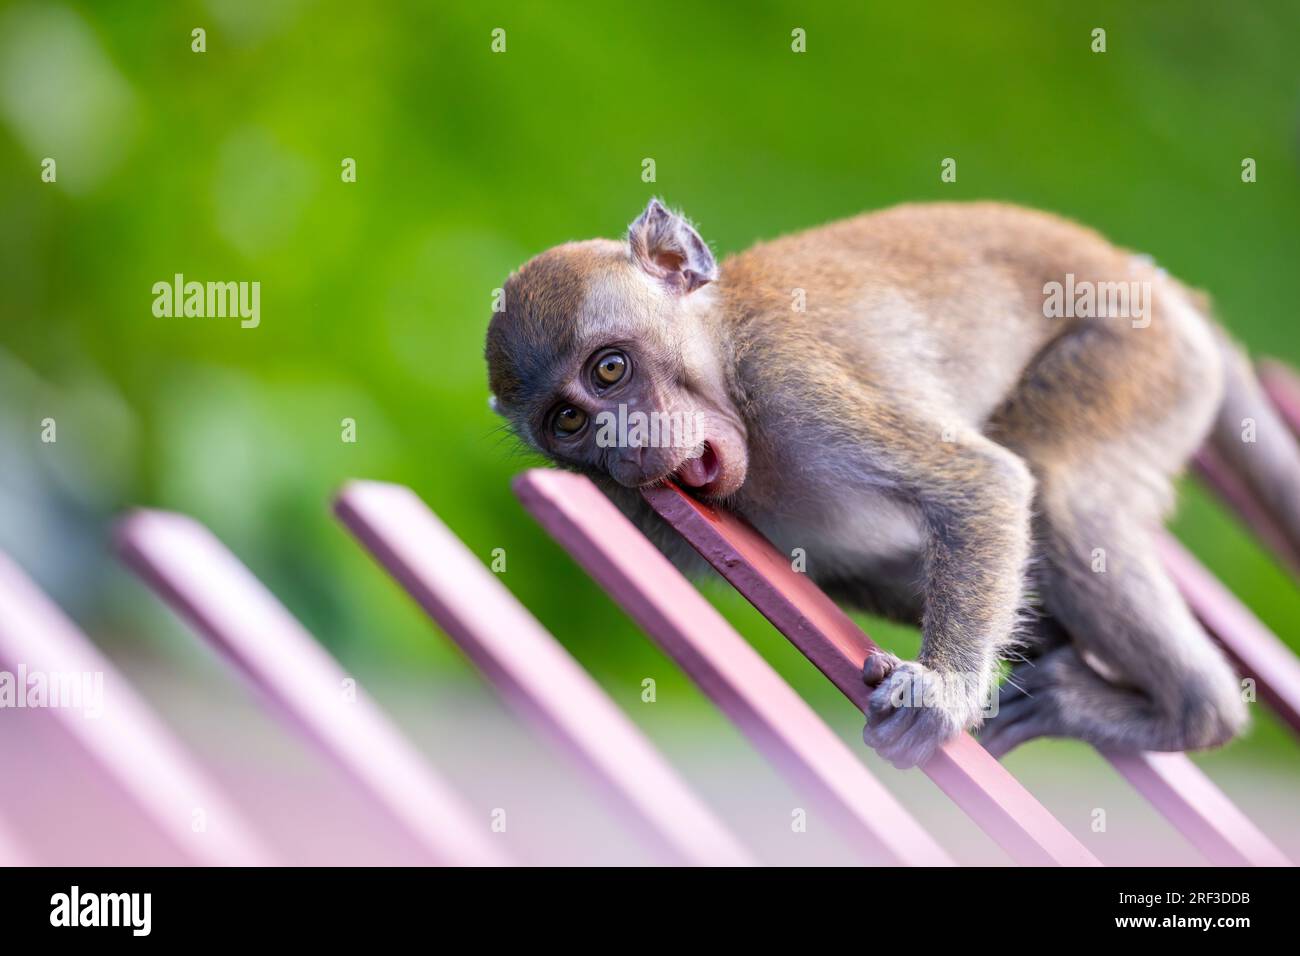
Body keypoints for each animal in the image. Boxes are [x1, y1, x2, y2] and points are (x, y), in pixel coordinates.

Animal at [483, 200, 1294, 770]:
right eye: (568, 422)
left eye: (608, 370)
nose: (622, 449)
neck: (723, 353)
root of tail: (1151, 279)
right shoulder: (647, 513)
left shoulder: (790, 380)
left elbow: (985, 483)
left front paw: (944, 693)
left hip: (1140, 355)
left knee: (1060, 487)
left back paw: (1195, 713)